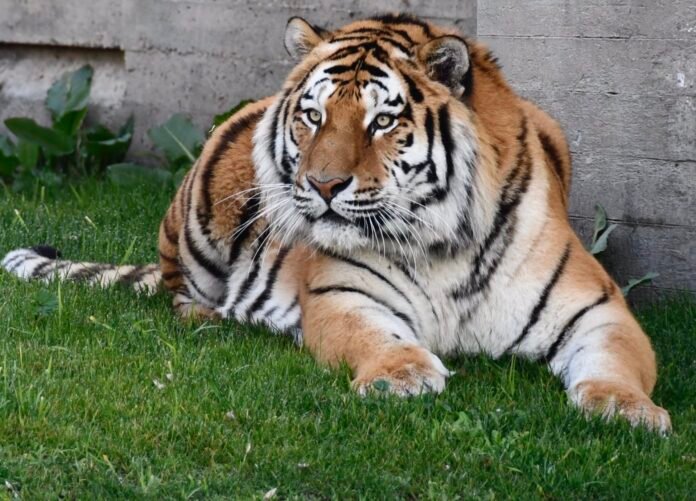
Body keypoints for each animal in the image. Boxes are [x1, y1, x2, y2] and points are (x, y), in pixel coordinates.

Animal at [2, 14, 671, 433]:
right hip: (199, 216)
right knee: (178, 291)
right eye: (314, 117)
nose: (323, 186)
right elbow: (376, 339)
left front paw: (631, 412)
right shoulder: (344, 296)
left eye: (382, 122)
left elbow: (617, 362)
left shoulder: (600, 308)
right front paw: (403, 376)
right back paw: (213, 318)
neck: (443, 245)